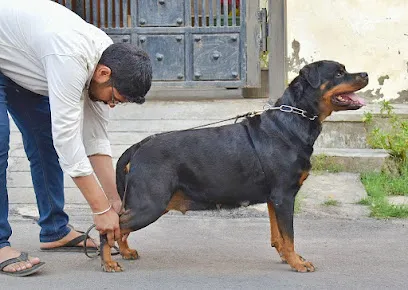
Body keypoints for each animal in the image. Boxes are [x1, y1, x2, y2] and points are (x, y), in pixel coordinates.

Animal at [99, 60, 370, 274]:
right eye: (338, 73)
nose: (365, 74)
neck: (291, 122)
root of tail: (138, 146)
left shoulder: (274, 198)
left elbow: (278, 235)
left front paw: (288, 257)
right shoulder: (284, 195)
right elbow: (289, 235)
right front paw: (297, 263)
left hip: (149, 203)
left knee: (119, 228)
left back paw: (125, 251)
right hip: (150, 204)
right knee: (110, 227)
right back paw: (108, 261)